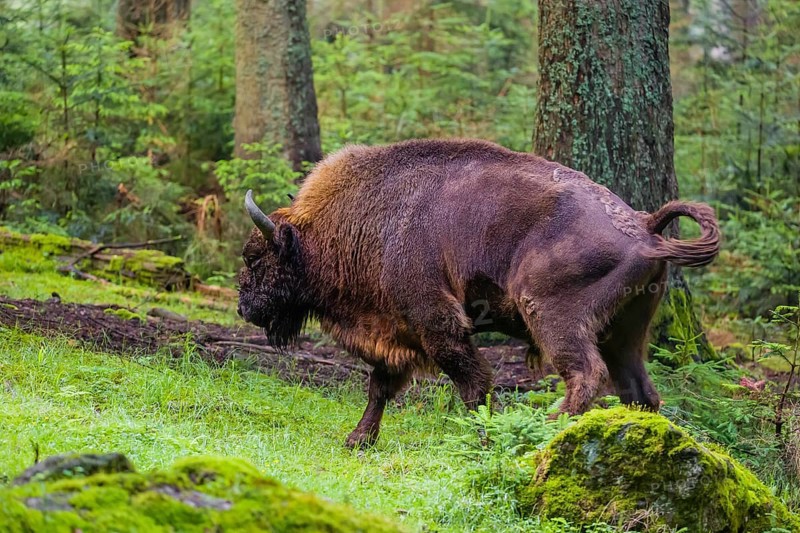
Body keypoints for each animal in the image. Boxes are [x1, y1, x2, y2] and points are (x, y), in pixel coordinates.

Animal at [237, 138, 720, 448]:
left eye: (256, 258)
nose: (243, 307)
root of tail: (643, 224)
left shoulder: (435, 322)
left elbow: (472, 384)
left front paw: (485, 438)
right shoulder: (396, 330)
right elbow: (380, 386)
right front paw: (357, 440)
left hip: (554, 318)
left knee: (587, 376)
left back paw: (544, 430)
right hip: (626, 332)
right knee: (639, 390)